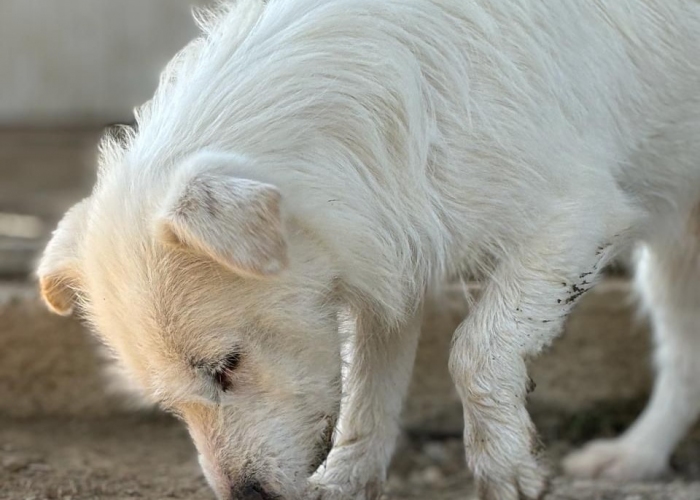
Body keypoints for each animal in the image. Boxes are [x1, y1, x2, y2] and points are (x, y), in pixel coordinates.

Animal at [35, 0, 700, 500]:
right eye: (169, 401)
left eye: (227, 366)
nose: (249, 497)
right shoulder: (389, 258)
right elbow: (366, 393)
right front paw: (347, 482)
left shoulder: (576, 220)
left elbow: (475, 351)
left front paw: (507, 469)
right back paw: (636, 456)